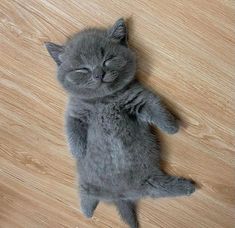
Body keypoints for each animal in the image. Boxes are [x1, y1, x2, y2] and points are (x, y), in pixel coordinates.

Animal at [45, 18, 196, 228]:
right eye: (82, 69)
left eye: (107, 59)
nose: (99, 74)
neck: (104, 101)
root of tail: (121, 196)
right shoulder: (75, 111)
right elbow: (72, 129)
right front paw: (78, 152)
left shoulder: (139, 97)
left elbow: (156, 108)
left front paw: (172, 127)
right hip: (86, 183)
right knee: (86, 195)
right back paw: (87, 212)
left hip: (150, 180)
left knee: (160, 189)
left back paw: (186, 186)